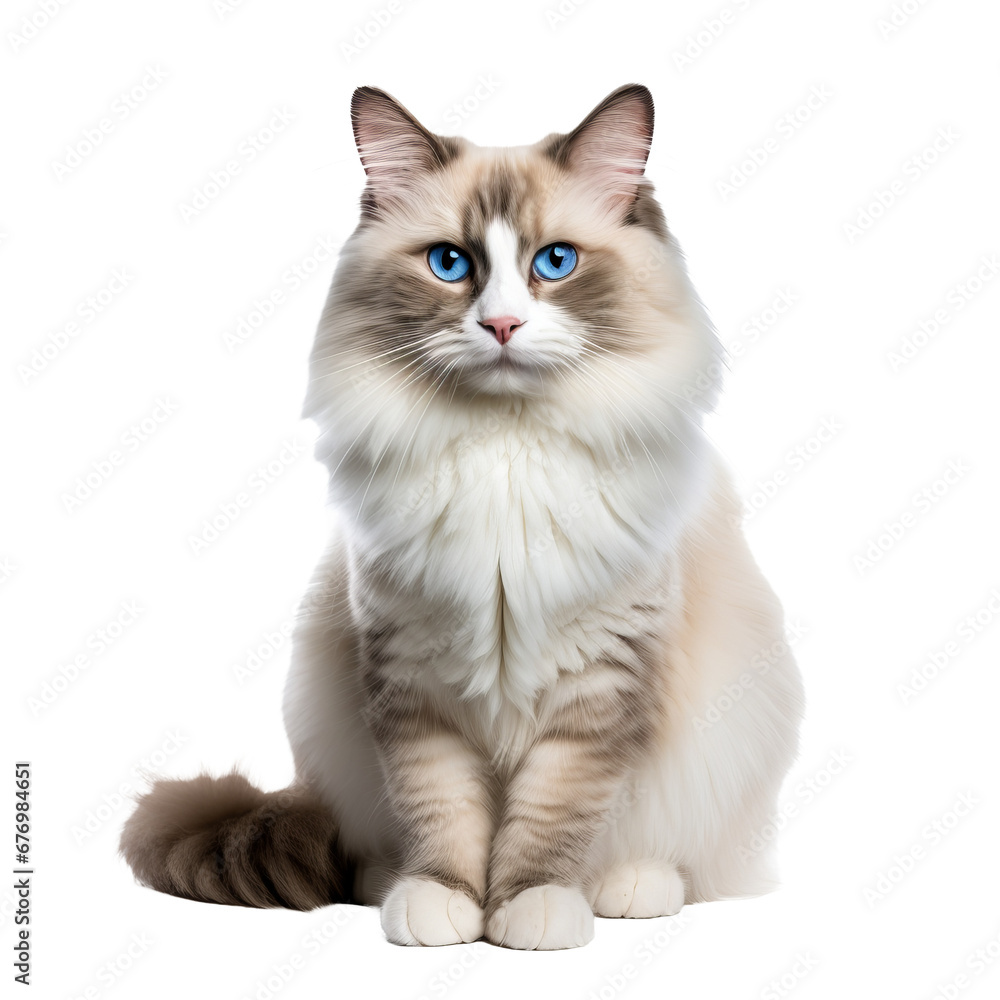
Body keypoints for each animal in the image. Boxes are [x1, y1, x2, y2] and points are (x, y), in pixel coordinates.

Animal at [119, 82, 804, 948]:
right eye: (451, 264)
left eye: (555, 263)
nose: (502, 326)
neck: (502, 453)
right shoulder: (414, 682)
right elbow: (443, 812)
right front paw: (442, 903)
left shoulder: (597, 691)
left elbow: (550, 818)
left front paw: (529, 909)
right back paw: (385, 882)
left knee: (674, 858)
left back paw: (631, 886)